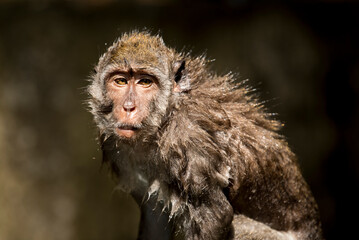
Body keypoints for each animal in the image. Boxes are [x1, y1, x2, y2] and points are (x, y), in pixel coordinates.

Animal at [88, 31, 324, 240]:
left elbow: (216, 216)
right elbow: (155, 216)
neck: (163, 120)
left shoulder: (189, 137)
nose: (128, 107)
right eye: (120, 81)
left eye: (145, 82)